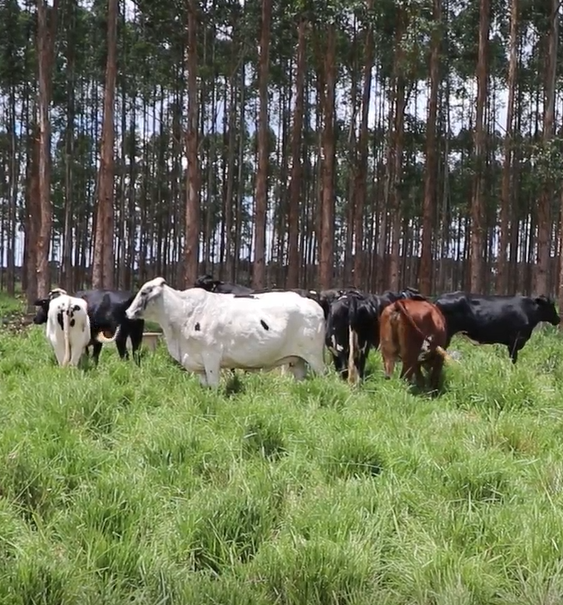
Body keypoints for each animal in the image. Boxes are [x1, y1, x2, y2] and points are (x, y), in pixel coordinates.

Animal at [123, 278, 326, 386]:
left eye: (144, 292)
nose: (127, 312)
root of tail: (312, 301)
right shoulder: (199, 365)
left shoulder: (211, 357)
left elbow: (214, 387)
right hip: (297, 361)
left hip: (315, 357)